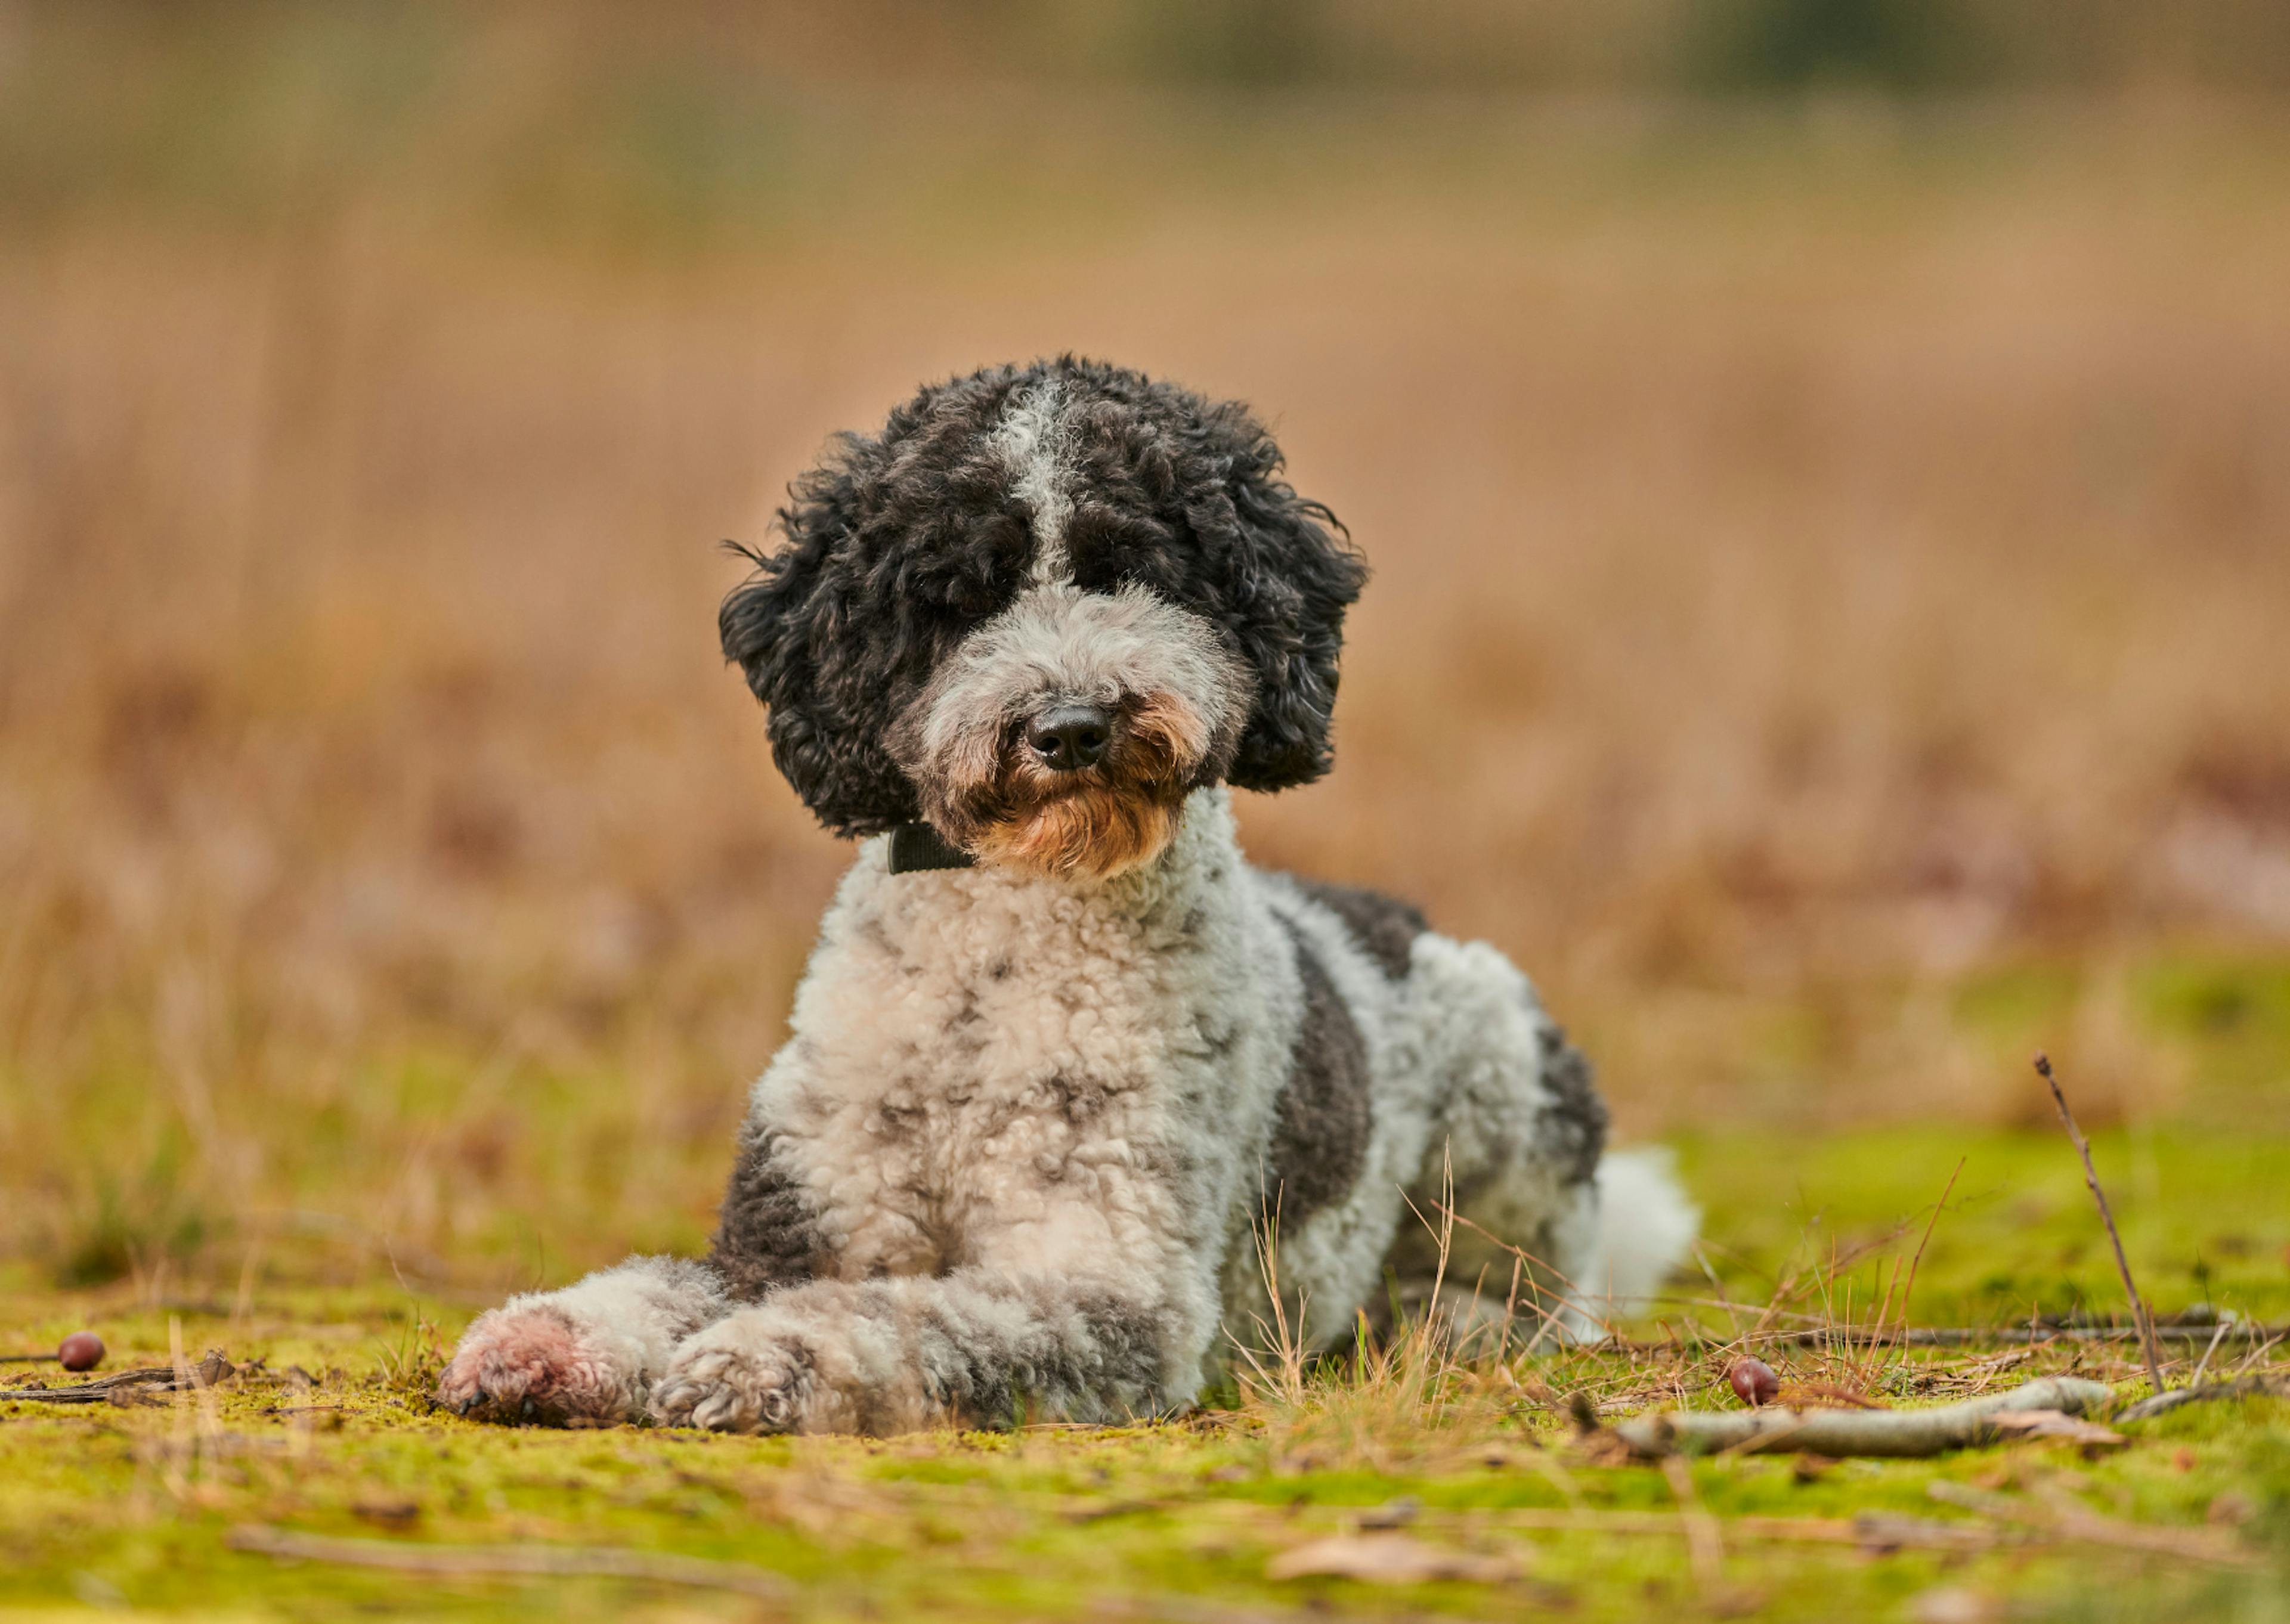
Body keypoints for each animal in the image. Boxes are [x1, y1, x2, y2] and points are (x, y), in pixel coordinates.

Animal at [442, 357, 1703, 1429]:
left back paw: (1449, 1320)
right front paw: (545, 1338)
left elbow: (908, 1321)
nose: (1072, 725)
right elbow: (663, 1281)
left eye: (1133, 567)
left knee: (1544, 1288)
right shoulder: (792, 1224)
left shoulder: (1112, 1283)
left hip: (1509, 1087)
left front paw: (764, 1358)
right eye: (957, 595)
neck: (1003, 945)